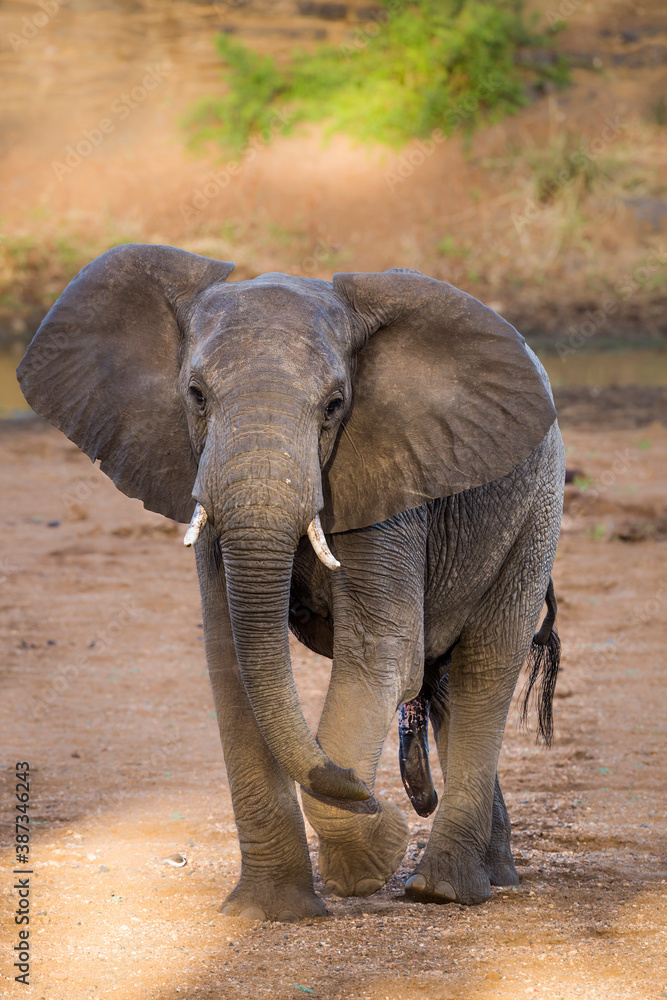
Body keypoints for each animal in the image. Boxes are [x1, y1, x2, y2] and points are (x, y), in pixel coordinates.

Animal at [17, 244, 565, 922]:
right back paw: (490, 875)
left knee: (485, 665)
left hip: (537, 511)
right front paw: (269, 911)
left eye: (334, 405)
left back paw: (444, 891)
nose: (377, 796)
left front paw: (368, 857)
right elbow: (231, 659)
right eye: (195, 395)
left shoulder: (389, 483)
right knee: (446, 689)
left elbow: (380, 653)